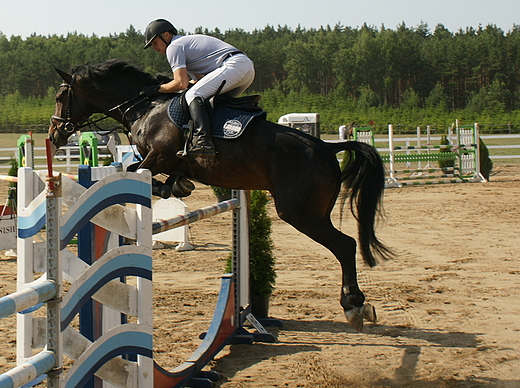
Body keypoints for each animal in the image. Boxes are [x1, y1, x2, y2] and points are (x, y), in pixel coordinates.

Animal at [49, 59, 394, 332]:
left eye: (59, 96)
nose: (54, 134)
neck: (143, 107)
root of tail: (327, 148)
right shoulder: (165, 161)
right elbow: (156, 176)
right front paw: (179, 186)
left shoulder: (157, 157)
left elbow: (137, 171)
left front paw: (172, 186)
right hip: (310, 212)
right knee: (345, 245)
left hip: (299, 213)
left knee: (345, 246)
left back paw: (354, 305)